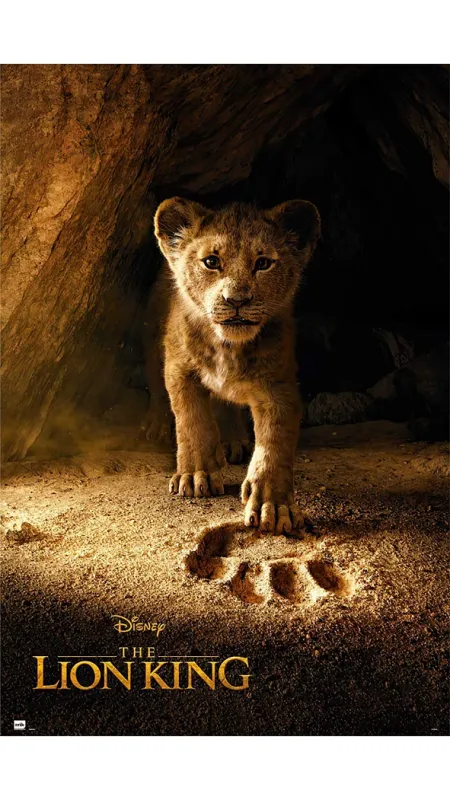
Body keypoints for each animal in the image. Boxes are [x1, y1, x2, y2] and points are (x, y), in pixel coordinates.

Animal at [149, 197, 321, 533]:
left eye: (263, 263)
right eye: (211, 262)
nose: (236, 300)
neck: (228, 347)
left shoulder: (279, 386)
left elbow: (274, 443)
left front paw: (273, 505)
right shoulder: (179, 369)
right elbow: (191, 421)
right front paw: (195, 475)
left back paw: (232, 442)